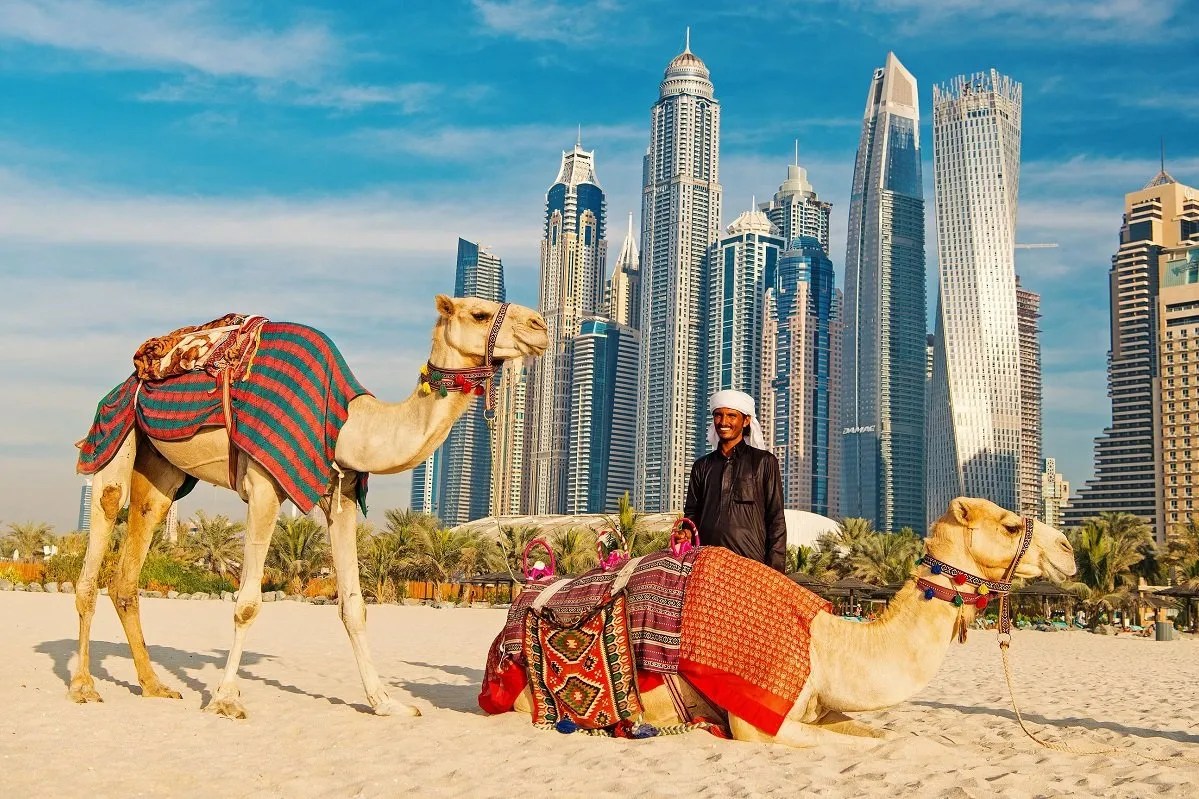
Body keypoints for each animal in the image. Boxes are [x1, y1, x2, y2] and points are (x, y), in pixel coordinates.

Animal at [70, 292, 549, 715]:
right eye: (479, 313)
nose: (541, 326)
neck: (351, 426)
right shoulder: (265, 484)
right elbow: (247, 604)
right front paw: (225, 699)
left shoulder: (342, 495)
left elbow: (354, 606)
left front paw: (386, 703)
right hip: (114, 432)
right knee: (102, 525)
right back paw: (84, 686)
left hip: (163, 472)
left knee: (130, 564)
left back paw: (153, 686)